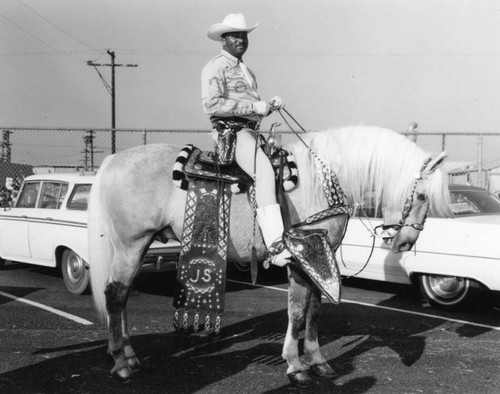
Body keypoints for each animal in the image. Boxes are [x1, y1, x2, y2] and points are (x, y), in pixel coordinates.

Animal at [88, 125, 452, 384]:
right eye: (421, 195)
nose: (406, 242)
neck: (324, 179)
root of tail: (111, 161)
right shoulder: (301, 258)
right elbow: (297, 312)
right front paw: (295, 365)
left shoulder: (319, 261)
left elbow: (315, 312)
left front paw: (318, 361)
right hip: (131, 244)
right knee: (115, 294)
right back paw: (120, 362)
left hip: (136, 247)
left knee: (122, 297)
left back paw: (129, 355)